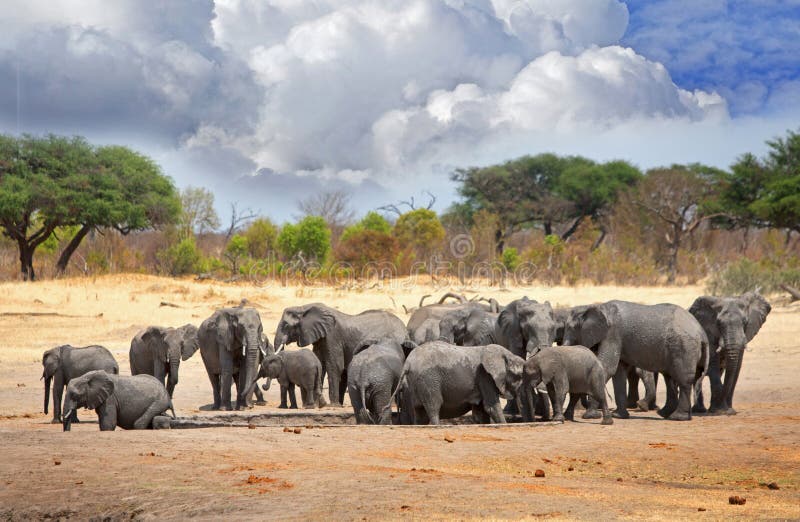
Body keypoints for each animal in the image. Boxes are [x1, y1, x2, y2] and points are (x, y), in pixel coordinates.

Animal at [276, 300, 412, 406]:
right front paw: (319, 405)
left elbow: (334, 366)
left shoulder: (333, 336)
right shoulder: (320, 338)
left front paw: (333, 405)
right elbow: (320, 365)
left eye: (286, 325)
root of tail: (405, 329)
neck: (304, 307)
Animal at [560, 300, 708, 418]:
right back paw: (665, 414)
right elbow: (618, 373)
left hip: (684, 347)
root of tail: (702, 332)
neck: (595, 306)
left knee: (683, 380)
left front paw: (590, 416)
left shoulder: (612, 334)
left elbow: (607, 368)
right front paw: (619, 416)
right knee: (670, 378)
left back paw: (677, 417)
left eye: (571, 328)